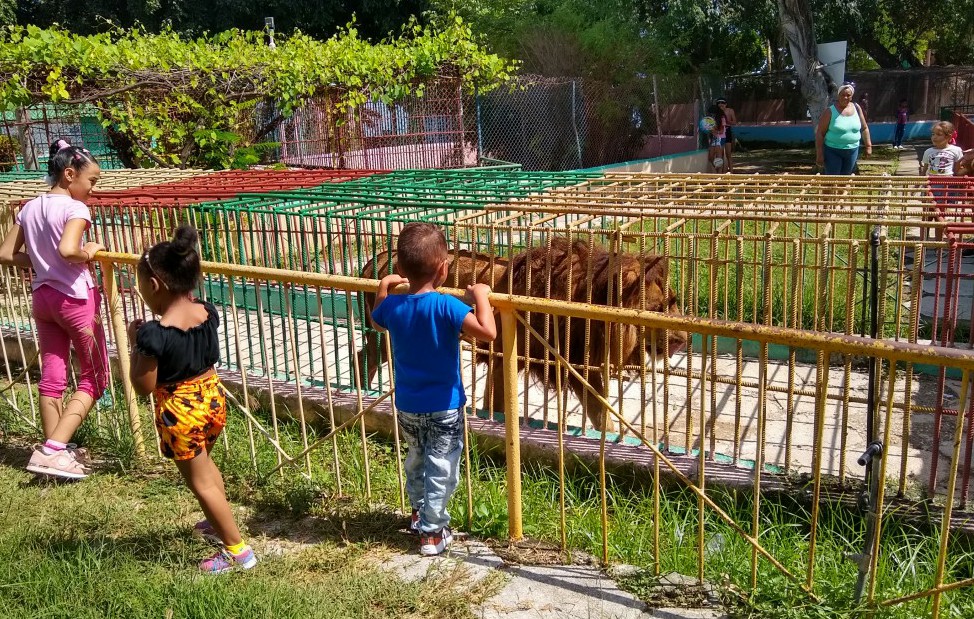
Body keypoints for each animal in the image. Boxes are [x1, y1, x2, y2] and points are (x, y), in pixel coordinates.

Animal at [356, 236, 688, 432]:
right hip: (388, 337)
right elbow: (599, 411)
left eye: (673, 301)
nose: (683, 339)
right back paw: (361, 393)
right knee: (363, 356)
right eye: (657, 308)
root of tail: (376, 258)